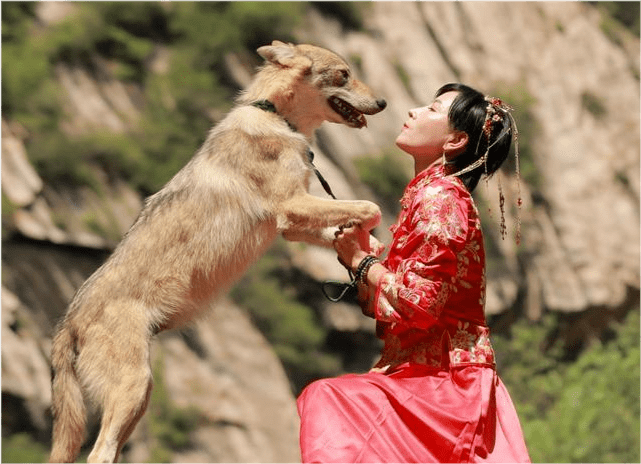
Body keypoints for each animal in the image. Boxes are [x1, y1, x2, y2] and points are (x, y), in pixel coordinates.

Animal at [48, 40, 384, 464]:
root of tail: (66, 323)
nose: (384, 102)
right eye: (343, 74)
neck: (275, 116)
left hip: (139, 398)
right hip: (133, 387)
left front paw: (364, 246)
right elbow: (370, 206)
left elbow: (345, 226)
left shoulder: (289, 225)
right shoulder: (292, 205)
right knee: (99, 454)